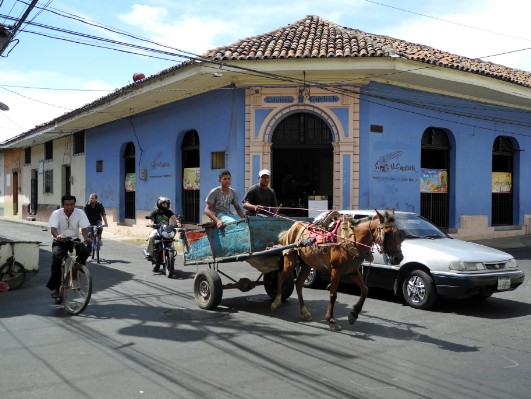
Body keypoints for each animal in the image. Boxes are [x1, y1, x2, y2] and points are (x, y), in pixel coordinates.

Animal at [272, 209, 406, 332]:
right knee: (281, 276)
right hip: (290, 260)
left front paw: (354, 314)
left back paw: (304, 311)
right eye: (387, 233)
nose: (398, 258)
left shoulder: (353, 271)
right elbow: (333, 294)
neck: (351, 238)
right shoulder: (336, 270)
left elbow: (365, 290)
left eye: (399, 233)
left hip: (307, 264)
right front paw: (331, 320)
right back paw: (276, 302)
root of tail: (291, 228)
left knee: (299, 284)